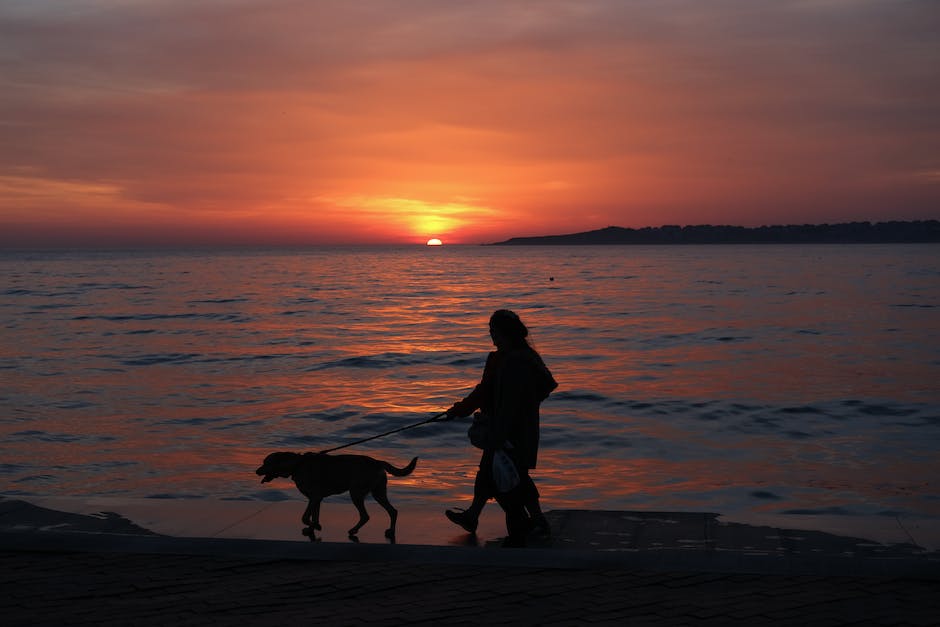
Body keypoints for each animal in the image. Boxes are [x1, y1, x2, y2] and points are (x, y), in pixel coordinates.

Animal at [258, 452, 418, 540]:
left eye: (266, 462)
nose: (256, 471)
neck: (297, 464)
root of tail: (377, 462)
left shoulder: (314, 497)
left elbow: (305, 517)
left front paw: (312, 526)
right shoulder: (316, 499)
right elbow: (315, 515)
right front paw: (314, 527)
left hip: (356, 492)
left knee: (365, 515)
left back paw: (354, 530)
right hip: (378, 492)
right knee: (392, 511)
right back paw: (391, 531)